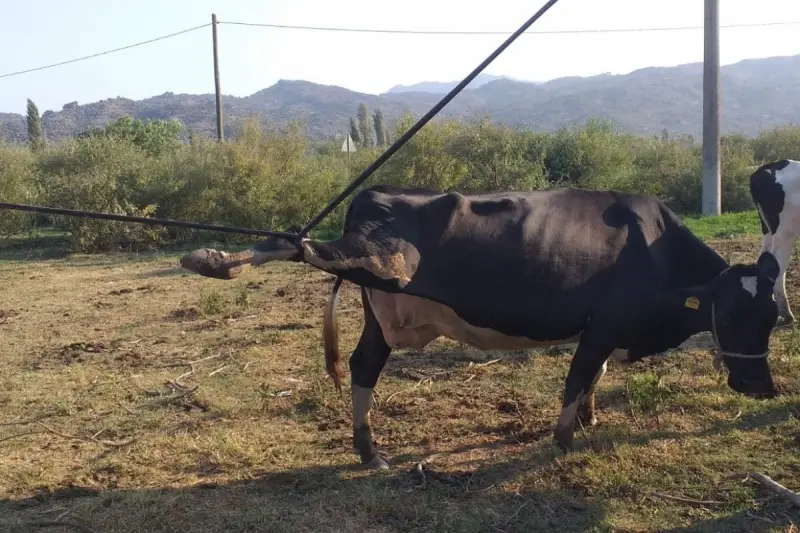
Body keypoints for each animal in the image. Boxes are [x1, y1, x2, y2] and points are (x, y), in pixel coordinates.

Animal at [178, 185, 780, 468]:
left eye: (773, 317)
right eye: (730, 314)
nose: (761, 387)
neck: (654, 248)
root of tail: (375, 194)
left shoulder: (604, 329)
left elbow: (595, 377)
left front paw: (588, 420)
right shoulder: (604, 324)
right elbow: (578, 376)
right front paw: (564, 439)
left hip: (381, 311)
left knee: (362, 365)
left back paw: (368, 450)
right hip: (384, 260)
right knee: (306, 249)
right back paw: (213, 259)